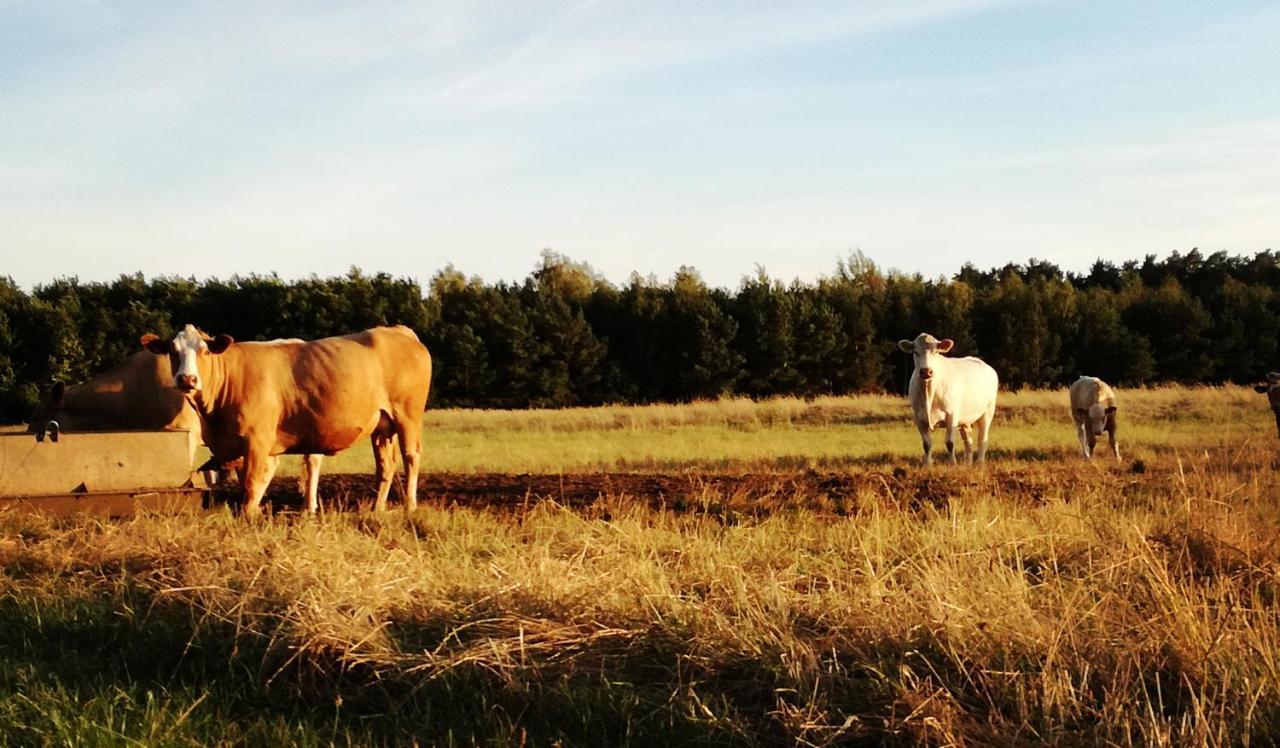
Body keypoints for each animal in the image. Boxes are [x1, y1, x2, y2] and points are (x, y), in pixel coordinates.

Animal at [140, 324, 430, 517]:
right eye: (172, 351)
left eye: (205, 351)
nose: (186, 379)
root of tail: (399, 330)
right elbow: (249, 487)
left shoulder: (257, 444)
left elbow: (252, 486)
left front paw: (250, 518)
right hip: (382, 426)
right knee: (386, 466)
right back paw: (377, 509)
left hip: (408, 416)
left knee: (411, 457)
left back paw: (410, 506)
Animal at [901, 330, 998, 463]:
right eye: (915, 352)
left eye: (936, 351)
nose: (926, 371)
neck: (929, 393)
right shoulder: (919, 418)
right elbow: (926, 444)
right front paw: (927, 464)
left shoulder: (952, 415)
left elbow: (950, 443)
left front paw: (953, 464)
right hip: (965, 419)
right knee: (969, 441)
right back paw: (968, 463)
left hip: (987, 413)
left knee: (982, 440)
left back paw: (980, 463)